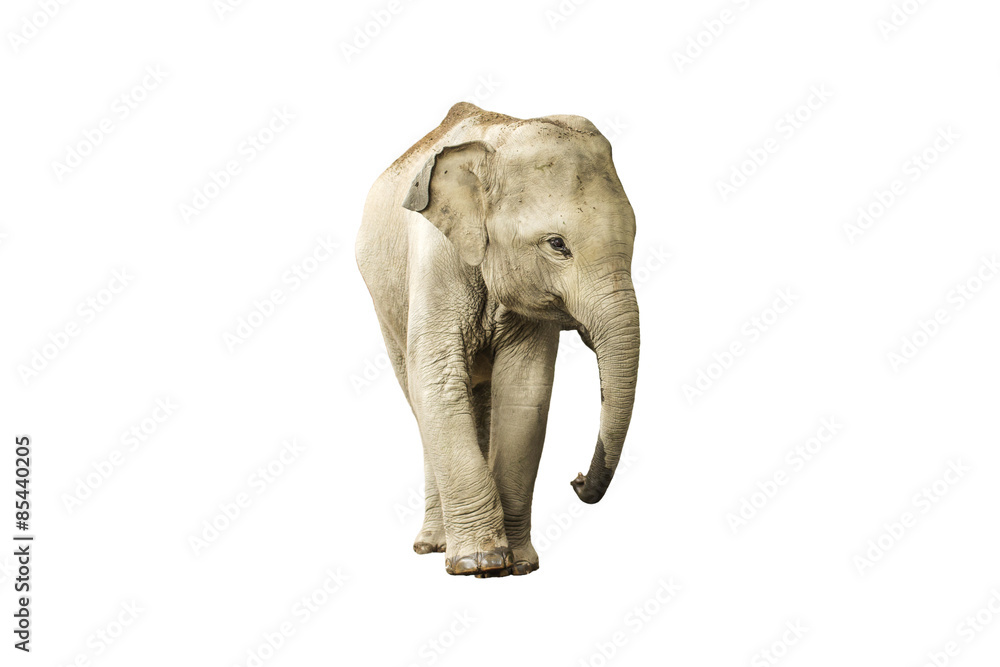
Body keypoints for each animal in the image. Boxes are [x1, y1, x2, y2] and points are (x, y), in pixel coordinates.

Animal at [355, 102, 639, 577]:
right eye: (557, 244)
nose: (577, 480)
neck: (498, 140)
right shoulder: (435, 261)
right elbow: (436, 381)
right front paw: (481, 564)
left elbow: (525, 393)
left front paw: (517, 565)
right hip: (384, 303)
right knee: (419, 395)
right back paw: (433, 546)